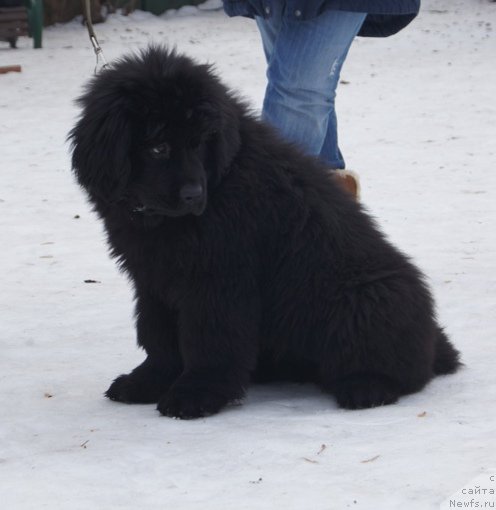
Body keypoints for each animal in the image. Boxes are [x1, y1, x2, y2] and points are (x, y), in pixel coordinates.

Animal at [70, 45, 462, 418]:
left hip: (370, 295)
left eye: (200, 142)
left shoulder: (217, 279)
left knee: (399, 368)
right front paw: (147, 382)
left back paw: (366, 387)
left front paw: (194, 395)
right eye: (158, 146)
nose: (194, 195)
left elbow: (208, 338)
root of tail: (432, 342)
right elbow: (158, 335)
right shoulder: (154, 278)